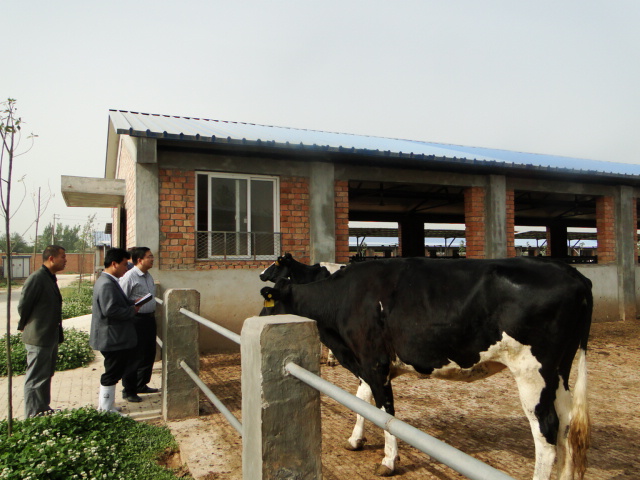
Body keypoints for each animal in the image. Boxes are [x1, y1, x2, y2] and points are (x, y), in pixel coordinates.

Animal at [258, 256, 592, 478]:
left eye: (269, 302)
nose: (257, 318)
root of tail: (571, 272)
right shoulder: (367, 363)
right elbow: (362, 398)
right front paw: (356, 440)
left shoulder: (373, 361)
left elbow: (385, 411)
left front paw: (389, 460)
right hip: (559, 372)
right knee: (566, 423)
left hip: (532, 371)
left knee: (546, 431)